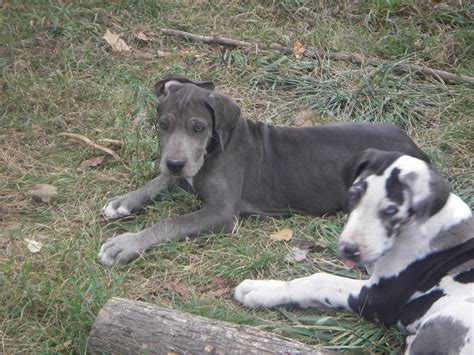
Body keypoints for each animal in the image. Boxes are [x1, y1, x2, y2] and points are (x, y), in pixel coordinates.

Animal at [98, 77, 428, 268]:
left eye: (198, 128)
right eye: (163, 125)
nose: (175, 163)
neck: (217, 145)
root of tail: (415, 148)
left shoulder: (221, 213)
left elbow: (170, 222)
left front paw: (125, 244)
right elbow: (159, 181)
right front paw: (124, 201)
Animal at [237, 149, 474, 354]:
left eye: (391, 210)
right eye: (354, 195)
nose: (349, 250)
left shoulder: (379, 297)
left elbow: (320, 281)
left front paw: (261, 292)